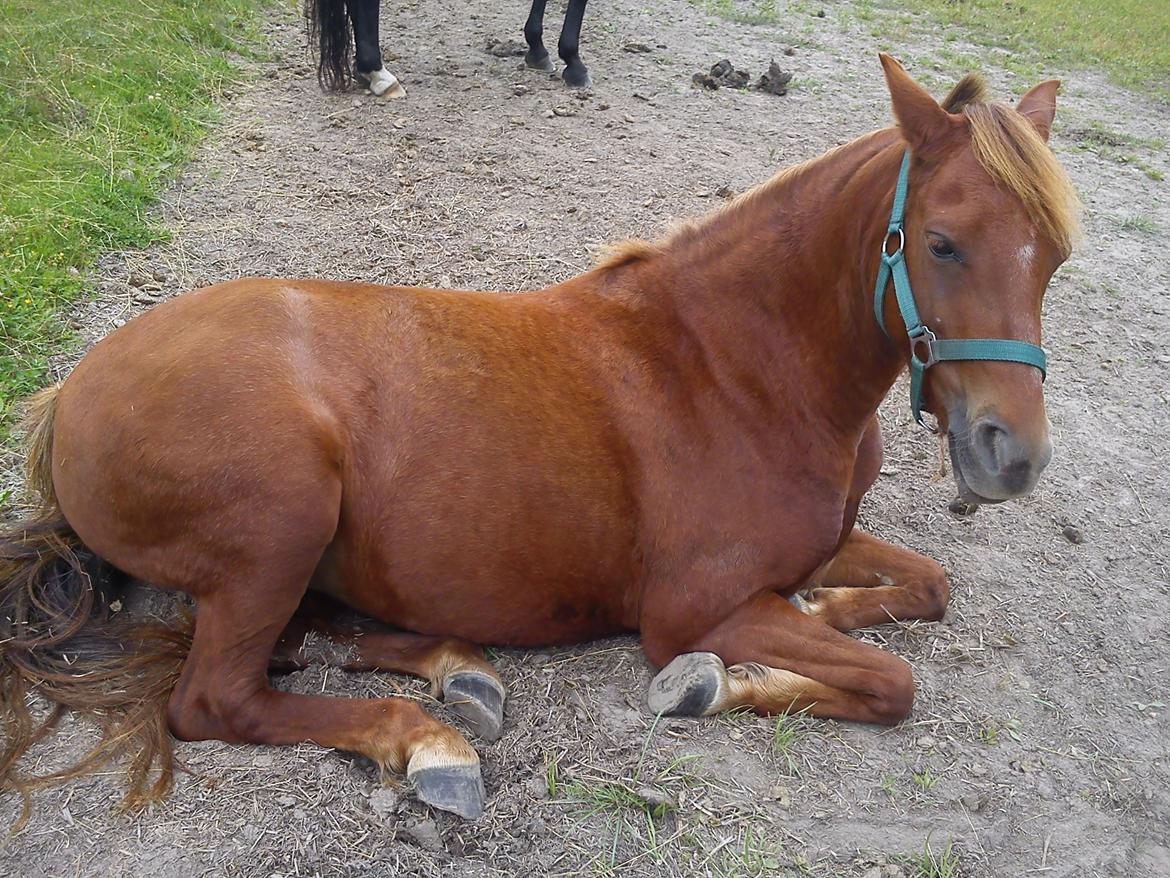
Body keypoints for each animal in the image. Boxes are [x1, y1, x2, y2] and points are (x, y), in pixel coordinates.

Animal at [0, 55, 1079, 823]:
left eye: (1055, 260)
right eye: (940, 243)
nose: (1012, 454)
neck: (736, 365)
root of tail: (71, 393)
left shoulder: (828, 541)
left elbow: (927, 589)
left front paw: (822, 611)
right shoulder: (695, 608)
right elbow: (888, 680)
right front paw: (720, 682)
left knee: (310, 636)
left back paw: (458, 669)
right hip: (281, 524)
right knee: (219, 699)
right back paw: (430, 743)